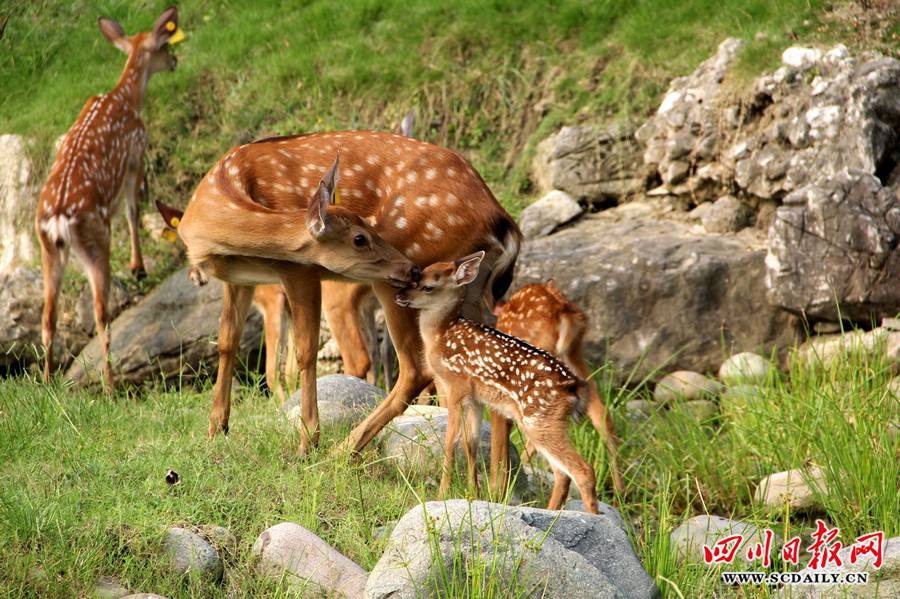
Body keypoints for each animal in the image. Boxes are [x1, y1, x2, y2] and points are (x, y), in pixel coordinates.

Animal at [35, 5, 183, 384]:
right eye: (164, 45)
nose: (175, 61)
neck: (126, 98)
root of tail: (59, 219)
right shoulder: (136, 153)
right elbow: (133, 209)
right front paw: (137, 267)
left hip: (48, 250)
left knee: (47, 316)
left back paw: (48, 380)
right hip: (94, 239)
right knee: (102, 315)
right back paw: (110, 384)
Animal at [173, 131, 520, 454]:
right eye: (359, 237)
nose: (412, 270)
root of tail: (502, 220)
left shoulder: (299, 270)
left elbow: (305, 352)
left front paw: (308, 442)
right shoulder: (239, 279)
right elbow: (226, 341)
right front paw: (216, 431)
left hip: (407, 276)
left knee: (415, 368)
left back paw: (344, 449)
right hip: (469, 293)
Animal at [394, 251, 596, 512]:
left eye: (427, 286)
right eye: (415, 277)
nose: (399, 295)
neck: (441, 335)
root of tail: (573, 387)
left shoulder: (456, 387)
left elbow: (450, 442)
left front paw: (441, 493)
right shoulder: (476, 398)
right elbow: (470, 443)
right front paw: (474, 492)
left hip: (539, 420)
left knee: (582, 470)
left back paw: (594, 517)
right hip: (545, 422)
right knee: (562, 474)